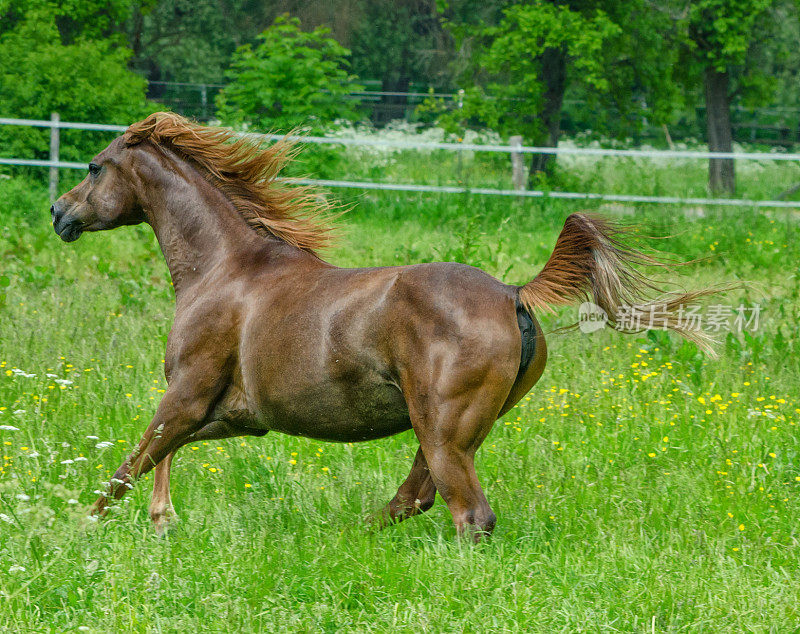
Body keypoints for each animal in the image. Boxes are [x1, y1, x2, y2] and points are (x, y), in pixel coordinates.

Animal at [51, 111, 720, 536]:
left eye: (94, 166)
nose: (58, 213)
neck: (225, 268)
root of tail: (512, 294)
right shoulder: (234, 414)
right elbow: (161, 453)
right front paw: (162, 521)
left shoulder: (188, 392)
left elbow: (129, 465)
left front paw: (74, 530)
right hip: (451, 427)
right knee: (416, 497)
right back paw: (356, 533)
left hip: (442, 427)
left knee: (466, 513)